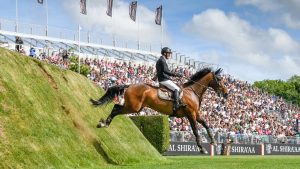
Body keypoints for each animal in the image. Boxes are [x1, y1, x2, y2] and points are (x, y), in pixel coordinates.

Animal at [90, 67, 229, 153]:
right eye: (220, 80)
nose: (226, 94)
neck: (192, 91)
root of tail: (130, 85)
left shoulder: (196, 114)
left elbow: (205, 124)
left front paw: (213, 141)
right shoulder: (190, 114)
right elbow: (195, 130)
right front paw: (202, 148)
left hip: (134, 107)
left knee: (116, 107)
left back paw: (104, 123)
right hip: (133, 107)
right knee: (116, 110)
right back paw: (104, 123)